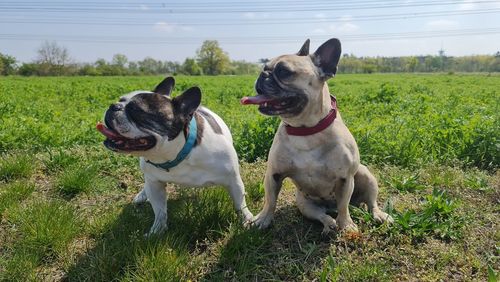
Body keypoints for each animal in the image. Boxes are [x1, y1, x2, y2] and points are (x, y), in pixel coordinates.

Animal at [240, 38, 392, 235]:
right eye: (265, 67)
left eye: (284, 71)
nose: (263, 74)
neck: (306, 130)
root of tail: (329, 207)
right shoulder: (274, 175)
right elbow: (270, 200)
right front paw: (263, 219)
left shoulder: (345, 179)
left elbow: (344, 206)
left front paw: (347, 225)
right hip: (304, 204)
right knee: (322, 215)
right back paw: (329, 225)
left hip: (366, 175)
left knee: (369, 203)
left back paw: (379, 215)